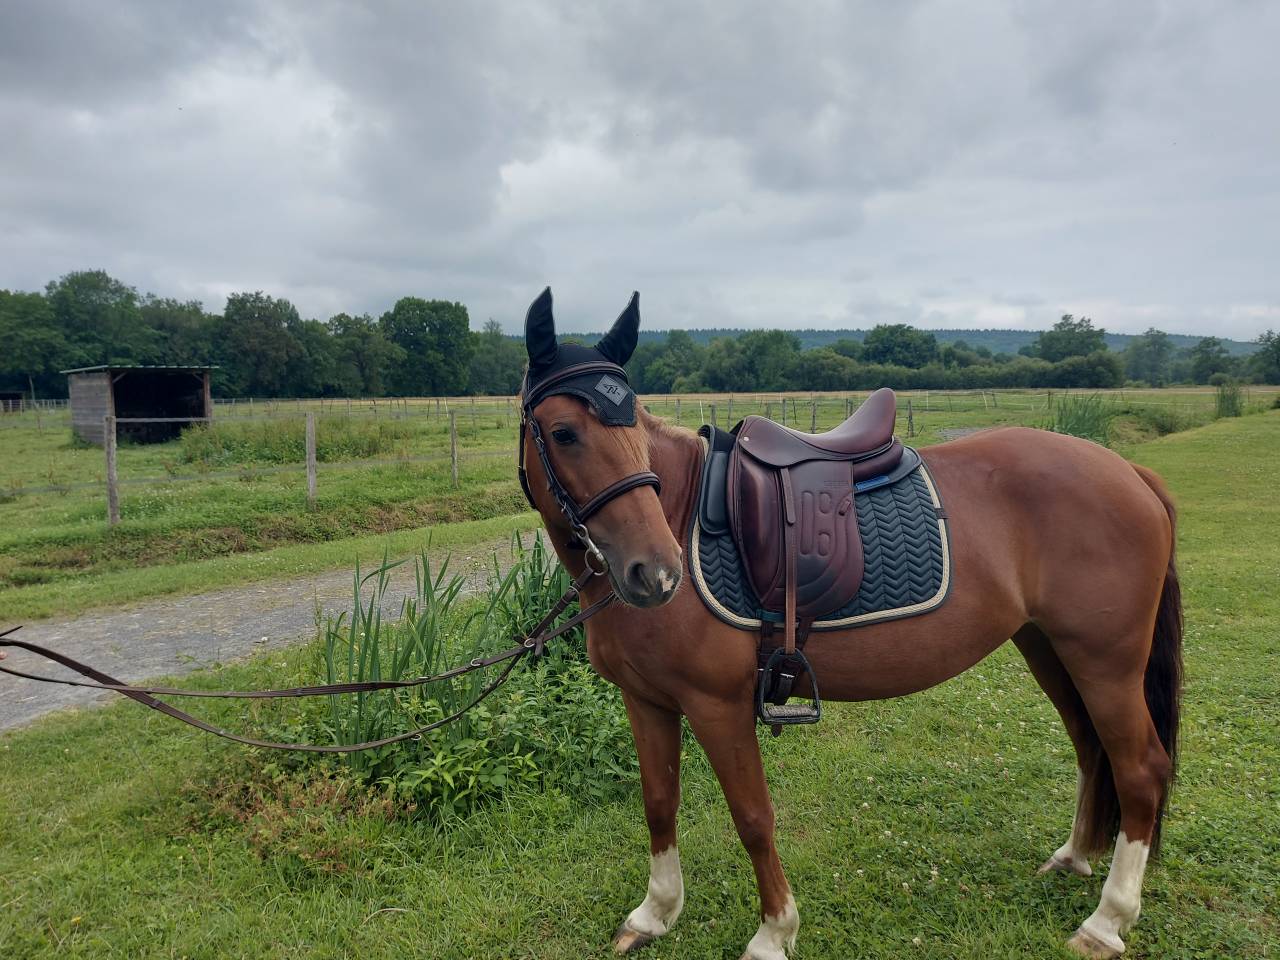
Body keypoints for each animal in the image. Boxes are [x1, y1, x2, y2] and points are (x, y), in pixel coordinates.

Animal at [516, 288, 1181, 960]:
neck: (680, 510)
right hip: (1049, 648)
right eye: (564, 432)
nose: (656, 572)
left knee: (1140, 769)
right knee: (1092, 750)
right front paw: (655, 913)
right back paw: (1074, 858)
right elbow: (658, 803)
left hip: (1105, 662)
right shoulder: (646, 701)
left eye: (632, 424)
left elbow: (753, 817)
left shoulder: (716, 704)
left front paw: (774, 931)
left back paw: (1106, 921)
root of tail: (1131, 474)